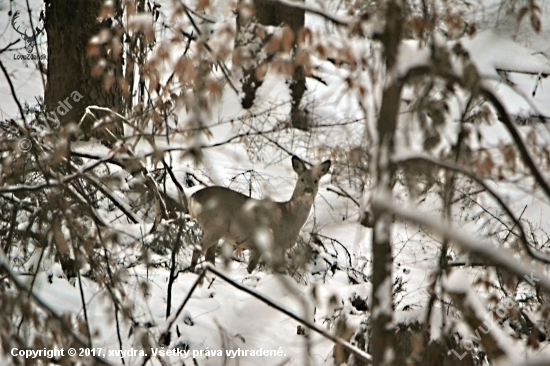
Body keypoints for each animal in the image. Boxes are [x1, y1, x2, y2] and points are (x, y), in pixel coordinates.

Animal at [188, 156, 334, 274]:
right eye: (302, 179)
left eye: (316, 180)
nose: (308, 190)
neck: (289, 216)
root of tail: (192, 198)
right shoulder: (277, 244)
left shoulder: (257, 246)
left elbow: (251, 267)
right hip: (215, 225)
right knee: (198, 250)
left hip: (217, 230)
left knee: (209, 256)